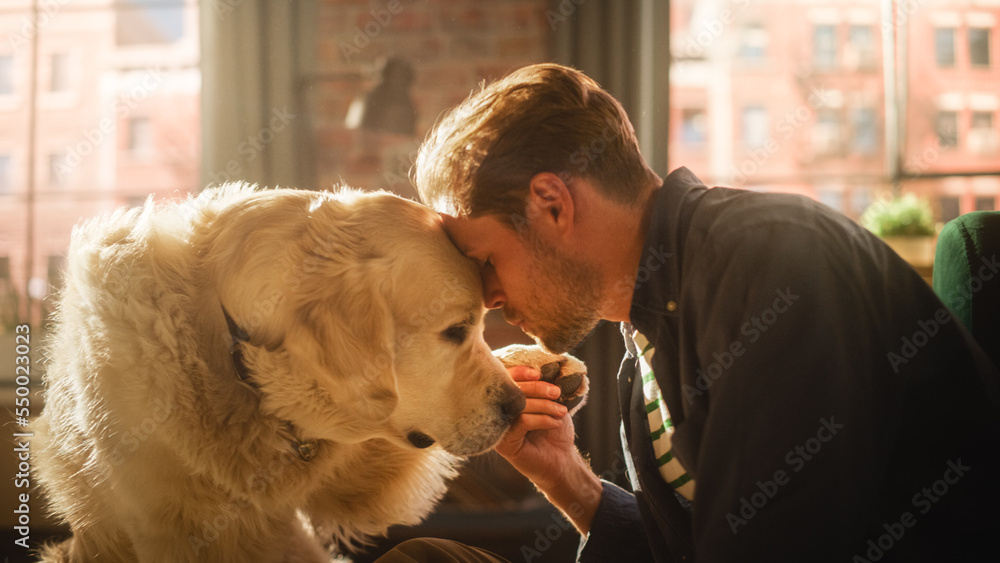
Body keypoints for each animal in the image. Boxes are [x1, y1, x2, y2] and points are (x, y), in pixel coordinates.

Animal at [33, 184, 584, 560]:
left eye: (478, 326)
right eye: (455, 330)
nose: (514, 407)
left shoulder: (349, 473)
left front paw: (538, 367)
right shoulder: (169, 521)